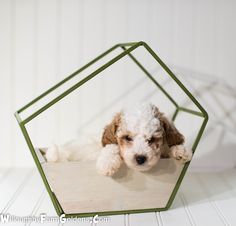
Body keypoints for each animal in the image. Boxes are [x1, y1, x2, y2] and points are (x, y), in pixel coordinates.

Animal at [44, 103, 192, 177]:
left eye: (151, 139)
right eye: (127, 138)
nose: (140, 158)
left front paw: (181, 150)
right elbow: (112, 146)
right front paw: (107, 163)